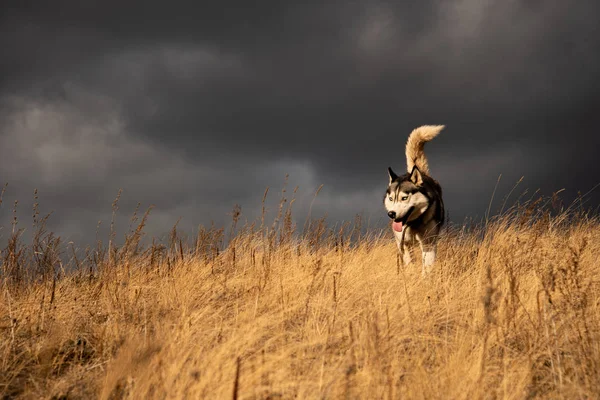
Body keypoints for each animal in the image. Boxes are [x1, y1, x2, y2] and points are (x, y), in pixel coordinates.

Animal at [384, 126, 446, 276]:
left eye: (404, 198)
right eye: (391, 198)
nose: (391, 214)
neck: (414, 223)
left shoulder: (428, 243)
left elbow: (427, 267)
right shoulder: (404, 244)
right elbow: (410, 264)